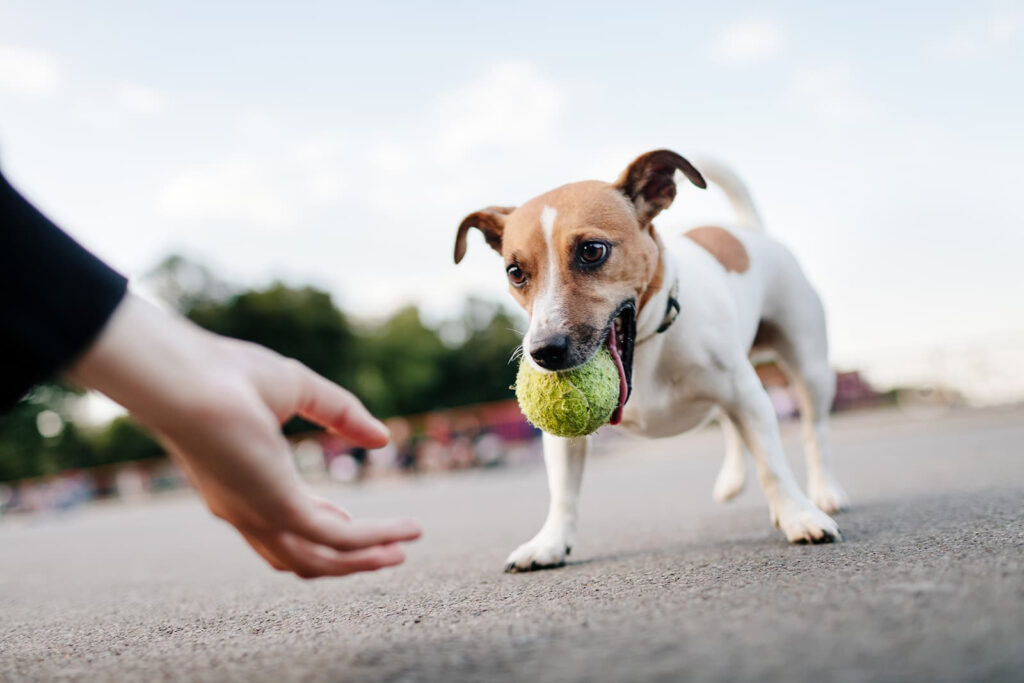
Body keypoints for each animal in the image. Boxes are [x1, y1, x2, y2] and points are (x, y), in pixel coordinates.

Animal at [454, 149, 847, 573]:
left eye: (592, 250)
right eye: (515, 272)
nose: (544, 352)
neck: (645, 347)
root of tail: (748, 230)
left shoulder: (747, 396)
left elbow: (773, 465)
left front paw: (798, 516)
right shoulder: (562, 440)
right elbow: (563, 492)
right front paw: (550, 543)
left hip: (809, 367)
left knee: (814, 432)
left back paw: (824, 492)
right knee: (731, 426)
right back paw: (732, 480)